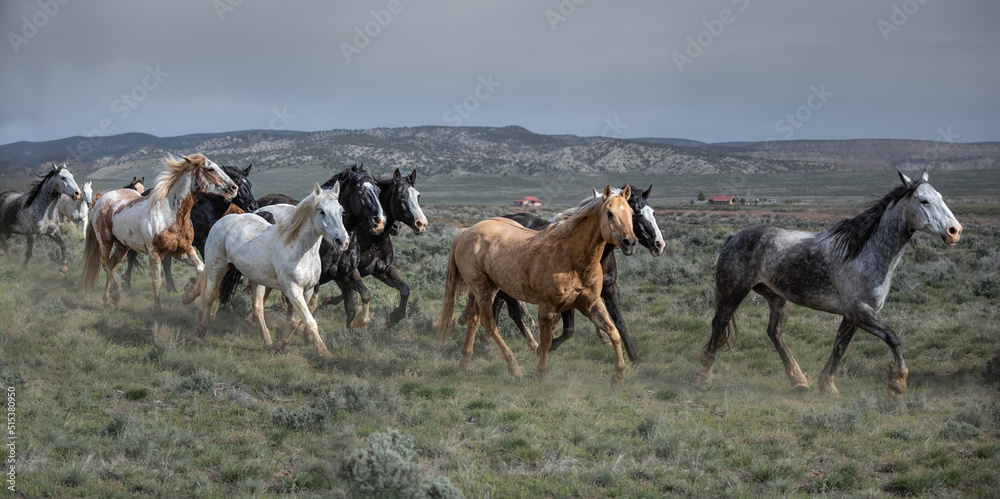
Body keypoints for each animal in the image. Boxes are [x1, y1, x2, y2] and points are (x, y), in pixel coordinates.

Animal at [82, 155, 238, 312]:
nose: (234, 187)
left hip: (122, 246)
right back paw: (115, 295)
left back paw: (107, 299)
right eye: (210, 169)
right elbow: (156, 280)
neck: (170, 215)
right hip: (105, 240)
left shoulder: (183, 251)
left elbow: (202, 269)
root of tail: (99, 201)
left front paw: (188, 295)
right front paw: (157, 308)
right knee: (104, 263)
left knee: (112, 266)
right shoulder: (154, 252)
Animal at [121, 164, 258, 292]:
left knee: (165, 262)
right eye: (237, 183)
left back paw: (171, 288)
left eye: (250, 184)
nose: (252, 206)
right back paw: (127, 282)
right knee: (132, 254)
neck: (208, 206)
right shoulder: (203, 242)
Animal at [196, 184, 352, 364]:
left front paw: (278, 346)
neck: (298, 249)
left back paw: (267, 343)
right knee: (209, 296)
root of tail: (223, 220)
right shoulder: (293, 289)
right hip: (217, 268)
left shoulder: (308, 290)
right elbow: (310, 321)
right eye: (322, 211)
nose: (343, 241)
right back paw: (202, 330)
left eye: (341, 211)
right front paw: (326, 355)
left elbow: (295, 320)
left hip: (257, 279)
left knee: (257, 309)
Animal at [436, 186, 636, 384]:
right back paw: (514, 367)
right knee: (489, 323)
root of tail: (465, 232)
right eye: (609, 213)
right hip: (484, 290)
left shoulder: (591, 304)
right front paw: (541, 373)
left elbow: (614, 331)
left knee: (475, 319)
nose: (630, 242)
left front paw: (619, 375)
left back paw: (465, 362)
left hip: (488, 289)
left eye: (631, 213)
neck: (571, 258)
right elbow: (547, 341)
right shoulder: (547, 307)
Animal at [696, 173, 960, 402]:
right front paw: (897, 385)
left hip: (777, 298)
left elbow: (840, 347)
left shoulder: (854, 315)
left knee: (775, 333)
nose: (954, 231)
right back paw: (705, 375)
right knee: (719, 323)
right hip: (734, 291)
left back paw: (799, 381)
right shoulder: (859, 311)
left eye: (941, 197)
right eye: (924, 200)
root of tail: (734, 238)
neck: (864, 253)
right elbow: (893, 338)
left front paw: (828, 386)